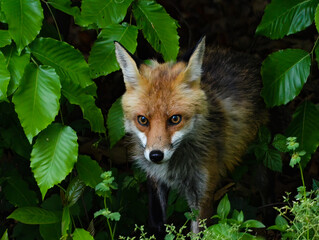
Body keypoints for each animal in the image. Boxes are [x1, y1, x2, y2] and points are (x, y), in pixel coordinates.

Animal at [114, 37, 268, 236]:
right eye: (143, 120)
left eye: (175, 119)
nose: (156, 155)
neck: (173, 168)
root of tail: (244, 55)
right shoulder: (155, 181)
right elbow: (158, 225)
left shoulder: (202, 192)